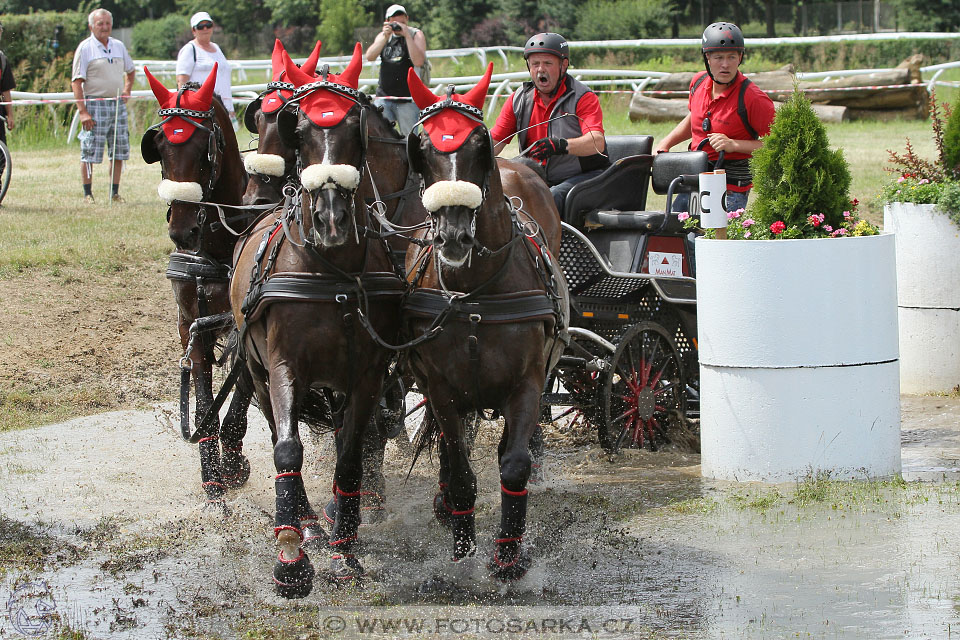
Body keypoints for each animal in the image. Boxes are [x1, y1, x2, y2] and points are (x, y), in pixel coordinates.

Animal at [141, 65, 255, 510]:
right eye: (159, 145)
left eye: (203, 148)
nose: (182, 231)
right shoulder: (191, 326)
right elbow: (205, 398)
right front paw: (212, 477)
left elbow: (238, 398)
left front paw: (233, 461)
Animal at [232, 45, 404, 600]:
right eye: (300, 130)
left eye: (355, 130)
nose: (331, 219)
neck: (332, 271)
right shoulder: (285, 367)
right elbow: (288, 449)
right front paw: (292, 556)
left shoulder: (368, 373)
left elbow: (352, 452)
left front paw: (345, 548)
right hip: (257, 374)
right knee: (274, 431)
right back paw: (304, 521)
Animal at [404, 65, 568, 580]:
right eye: (422, 146)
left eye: (480, 144)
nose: (454, 235)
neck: (474, 291)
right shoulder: (441, 389)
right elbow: (459, 469)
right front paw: (462, 548)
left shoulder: (527, 382)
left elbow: (513, 464)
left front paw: (509, 556)